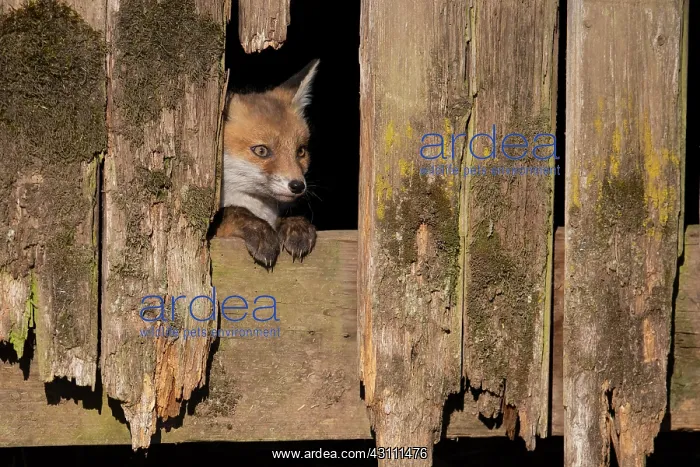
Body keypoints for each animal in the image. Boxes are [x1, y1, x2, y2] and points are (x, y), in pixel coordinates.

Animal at [214, 59, 320, 268]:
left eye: (300, 151)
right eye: (261, 151)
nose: (298, 186)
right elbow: (234, 211)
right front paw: (260, 230)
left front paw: (294, 225)